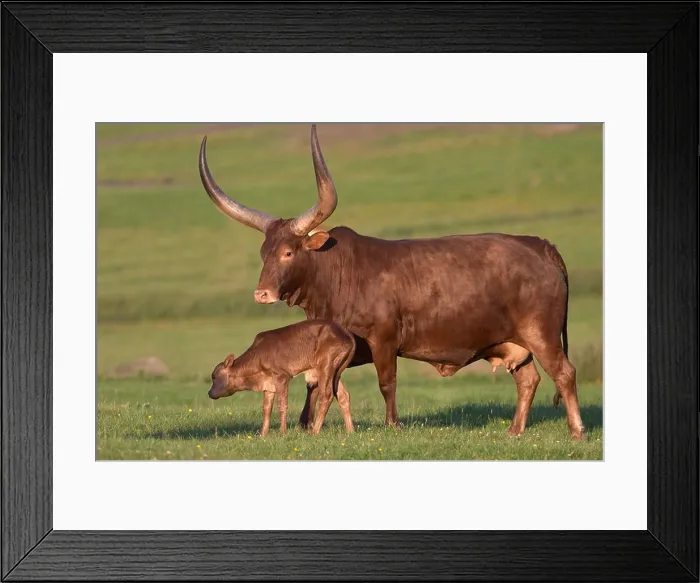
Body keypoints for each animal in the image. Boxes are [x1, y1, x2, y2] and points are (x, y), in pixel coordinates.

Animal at [208, 319, 356, 436]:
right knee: (343, 395)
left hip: (326, 365)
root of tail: (347, 334)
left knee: (326, 395)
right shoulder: (268, 384)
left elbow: (282, 405)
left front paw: (282, 432)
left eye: (214, 376)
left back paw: (315, 432)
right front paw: (263, 434)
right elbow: (266, 408)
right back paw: (350, 431)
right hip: (334, 371)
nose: (209, 393)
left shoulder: (281, 377)